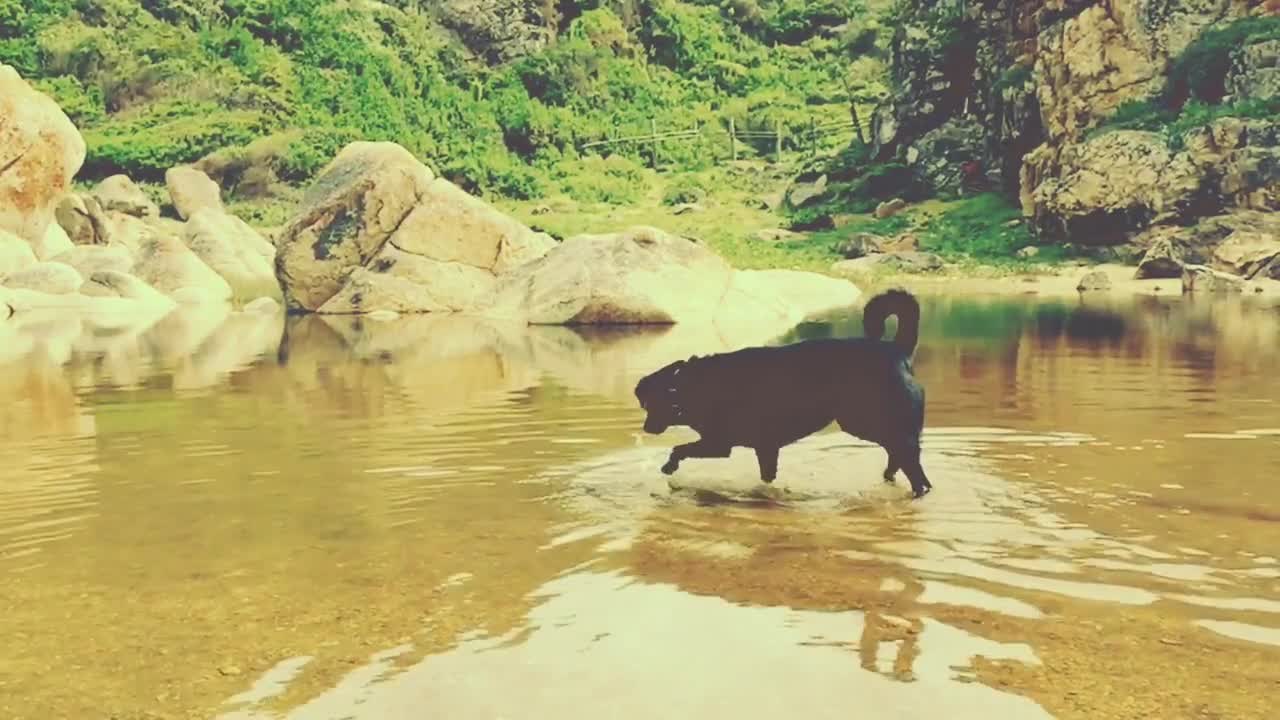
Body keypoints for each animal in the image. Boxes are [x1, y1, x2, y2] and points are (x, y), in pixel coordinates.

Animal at [637, 285, 931, 499]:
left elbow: (679, 448)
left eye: (650, 404)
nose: (646, 428)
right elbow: (767, 476)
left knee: (913, 467)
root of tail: (897, 350)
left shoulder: (719, 444)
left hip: (866, 421)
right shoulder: (765, 447)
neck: (692, 384)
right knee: (900, 454)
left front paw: (669, 467)